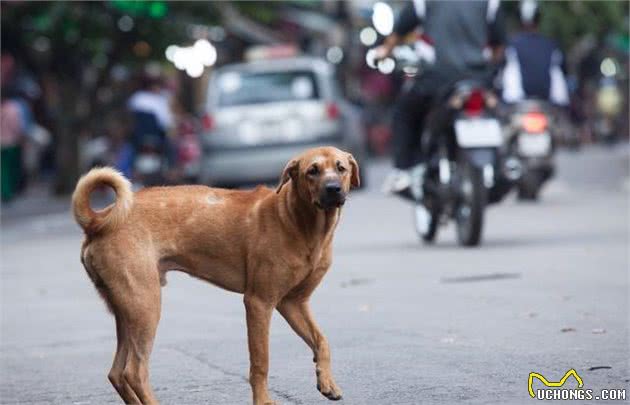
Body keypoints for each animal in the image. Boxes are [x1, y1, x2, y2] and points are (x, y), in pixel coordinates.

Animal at [72, 146, 360, 404]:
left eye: (341, 168)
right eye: (312, 171)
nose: (333, 189)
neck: (298, 222)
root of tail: (98, 221)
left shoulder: (293, 302)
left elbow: (321, 341)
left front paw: (327, 382)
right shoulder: (259, 302)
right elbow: (260, 362)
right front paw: (263, 401)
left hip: (126, 310)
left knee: (116, 373)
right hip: (145, 304)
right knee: (134, 372)